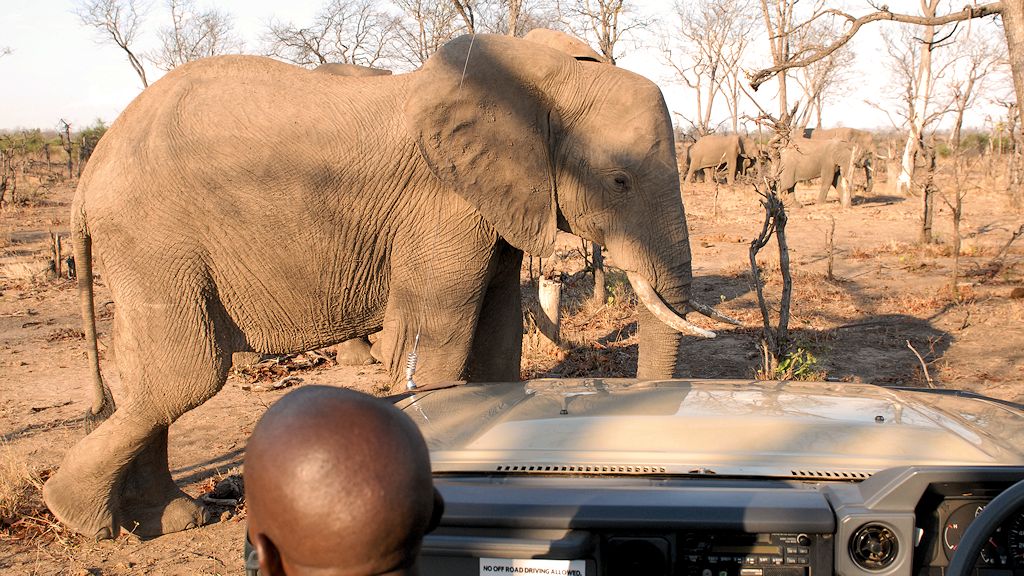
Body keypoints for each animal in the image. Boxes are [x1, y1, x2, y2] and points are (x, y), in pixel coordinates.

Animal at [44, 32, 734, 539]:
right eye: (619, 181)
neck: (539, 76)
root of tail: (90, 173)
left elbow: (495, 342)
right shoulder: (442, 203)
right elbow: (434, 341)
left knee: (147, 372)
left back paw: (171, 517)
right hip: (154, 237)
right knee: (184, 375)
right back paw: (80, 518)